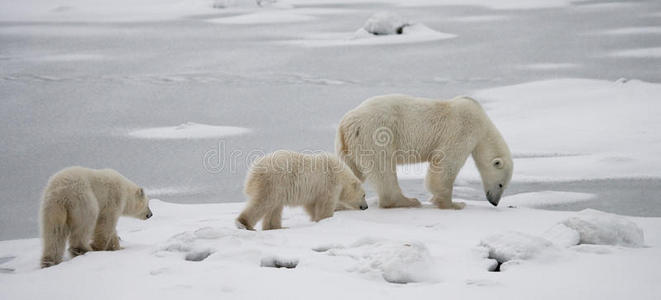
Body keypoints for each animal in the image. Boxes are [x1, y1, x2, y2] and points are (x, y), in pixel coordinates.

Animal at [338, 94, 512, 209]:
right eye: (501, 184)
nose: (494, 202)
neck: (483, 123)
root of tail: (346, 123)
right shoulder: (462, 129)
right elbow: (445, 164)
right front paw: (453, 203)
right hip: (376, 134)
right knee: (383, 168)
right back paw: (407, 201)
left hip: (347, 145)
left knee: (348, 170)